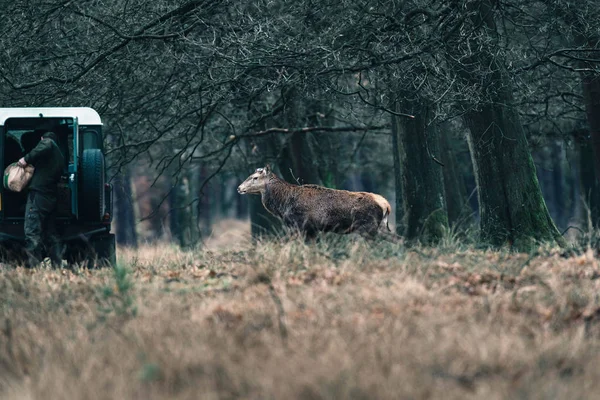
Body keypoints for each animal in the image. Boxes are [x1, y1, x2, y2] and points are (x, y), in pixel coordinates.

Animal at [237, 165, 392, 239]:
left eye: (255, 177)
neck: (283, 206)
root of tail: (387, 205)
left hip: (367, 226)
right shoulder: (312, 229)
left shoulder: (302, 225)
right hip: (381, 227)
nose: (239, 188)